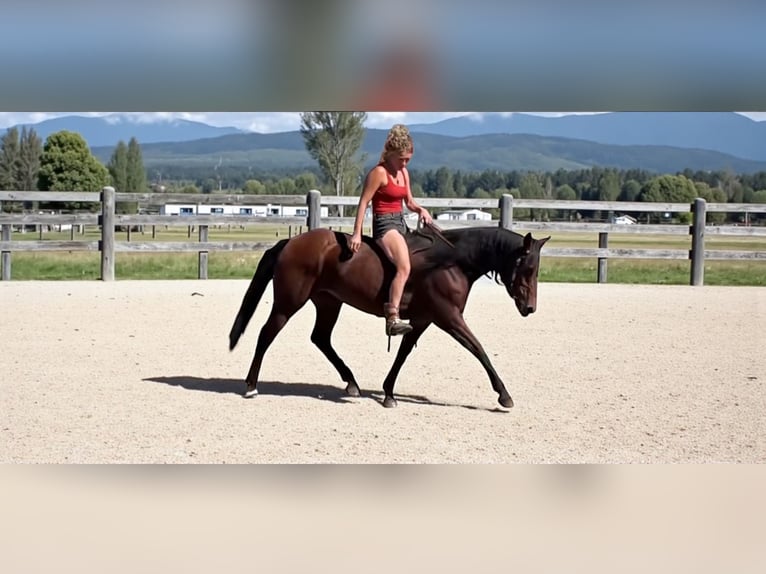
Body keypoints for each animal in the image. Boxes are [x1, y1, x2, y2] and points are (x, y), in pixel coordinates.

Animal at [228, 224, 550, 408]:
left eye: (536, 269)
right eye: (527, 268)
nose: (530, 307)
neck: (451, 262)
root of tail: (290, 242)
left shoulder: (422, 319)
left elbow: (403, 353)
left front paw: (388, 393)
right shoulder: (448, 317)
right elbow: (478, 349)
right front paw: (504, 394)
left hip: (329, 302)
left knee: (320, 338)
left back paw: (351, 383)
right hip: (289, 302)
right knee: (266, 334)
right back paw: (251, 386)